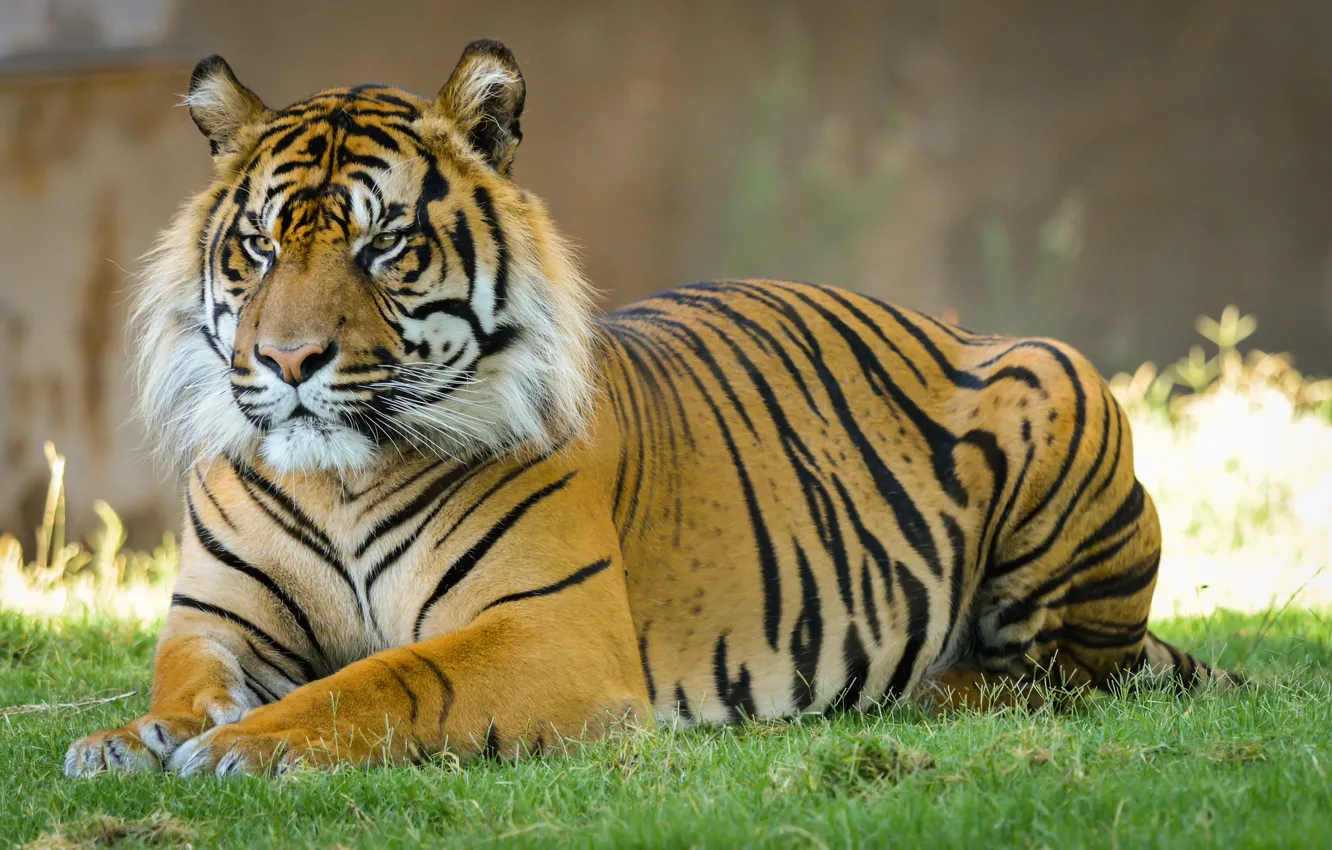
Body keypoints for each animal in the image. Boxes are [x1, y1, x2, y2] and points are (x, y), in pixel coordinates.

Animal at [65, 39, 1237, 778]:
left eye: (385, 244)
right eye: (258, 246)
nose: (289, 358)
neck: (341, 477)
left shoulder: (546, 630)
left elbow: (386, 680)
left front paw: (244, 745)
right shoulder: (215, 617)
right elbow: (183, 679)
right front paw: (129, 739)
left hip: (1059, 385)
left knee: (1056, 675)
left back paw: (917, 691)